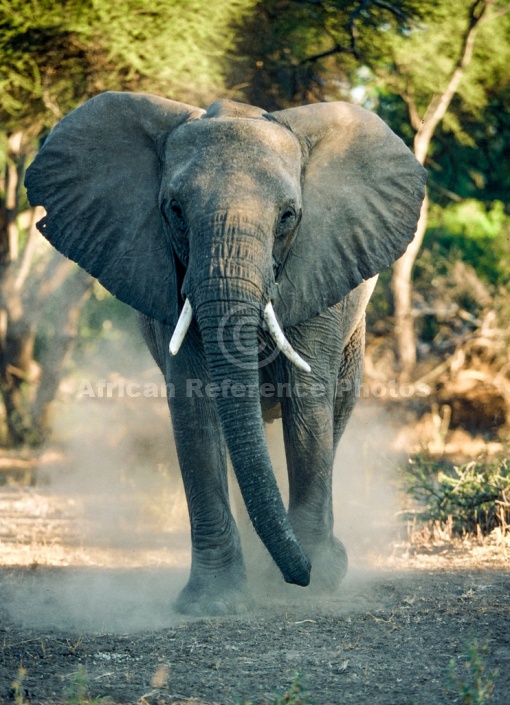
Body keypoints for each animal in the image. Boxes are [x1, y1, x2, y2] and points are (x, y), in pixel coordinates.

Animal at [26, 91, 426, 612]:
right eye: (175, 210)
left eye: (288, 216)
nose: (302, 574)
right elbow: (195, 409)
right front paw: (213, 602)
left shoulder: (319, 267)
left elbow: (307, 403)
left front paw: (315, 580)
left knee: (335, 410)